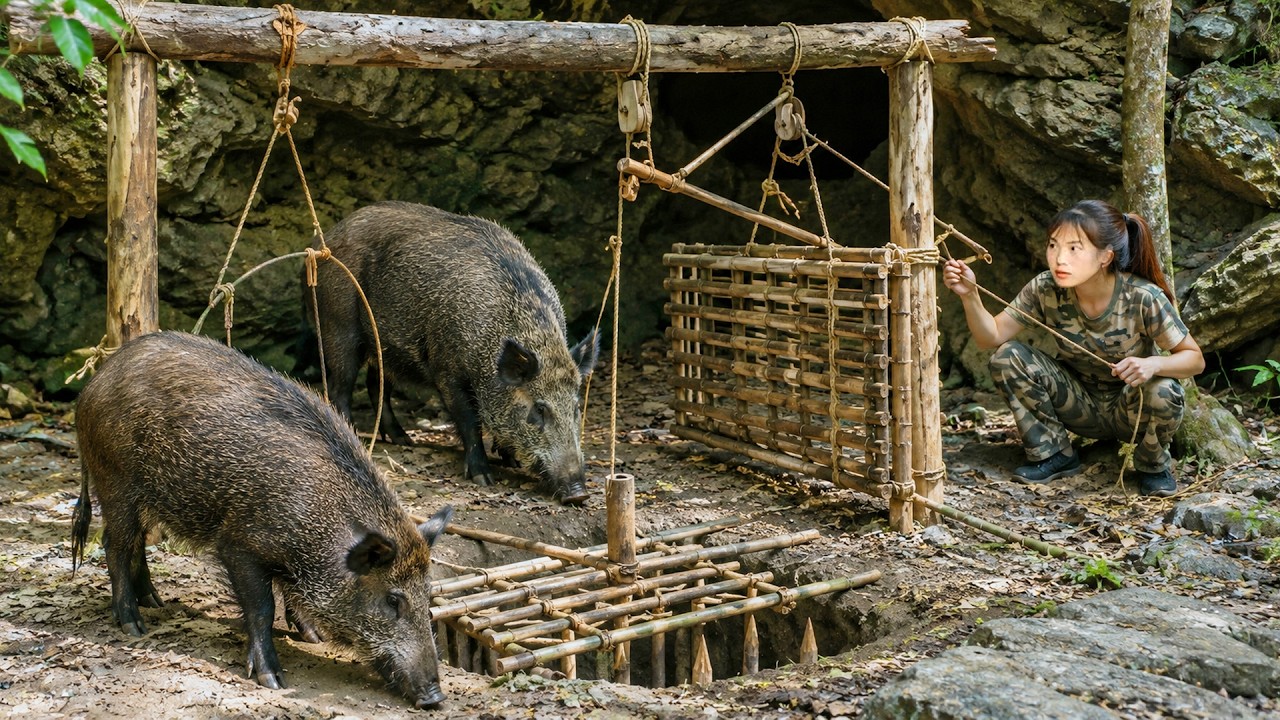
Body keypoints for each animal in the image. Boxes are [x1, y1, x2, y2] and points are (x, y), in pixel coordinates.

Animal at [71, 330, 453, 709]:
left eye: (427, 594)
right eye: (393, 600)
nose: (435, 697)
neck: (318, 525)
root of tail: (93, 382)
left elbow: (288, 594)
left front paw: (312, 637)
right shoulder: (239, 545)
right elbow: (262, 607)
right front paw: (272, 680)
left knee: (136, 543)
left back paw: (154, 602)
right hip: (116, 481)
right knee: (115, 544)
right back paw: (132, 624)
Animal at [309, 201, 600, 504]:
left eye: (576, 406)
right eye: (539, 409)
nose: (578, 493)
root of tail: (325, 238)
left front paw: (511, 461)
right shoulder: (447, 371)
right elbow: (469, 420)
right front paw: (484, 478)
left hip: (384, 347)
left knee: (377, 386)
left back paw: (404, 440)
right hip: (337, 324)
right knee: (341, 386)